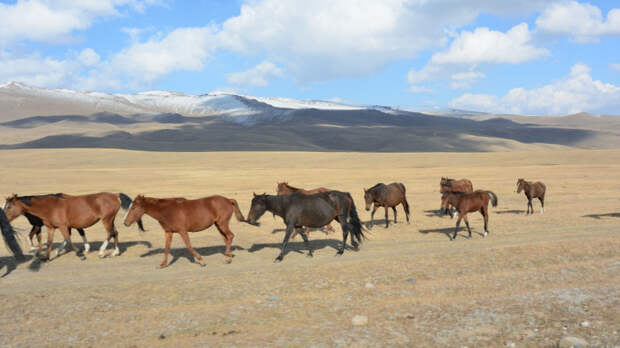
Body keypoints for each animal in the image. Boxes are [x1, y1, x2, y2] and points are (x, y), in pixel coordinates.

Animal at [1, 193, 140, 260]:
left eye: (9, 207)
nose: (3, 218)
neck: (49, 207)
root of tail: (115, 195)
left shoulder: (63, 226)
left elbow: (67, 239)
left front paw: (80, 254)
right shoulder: (51, 228)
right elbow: (50, 242)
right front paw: (46, 257)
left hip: (106, 219)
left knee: (110, 233)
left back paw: (101, 252)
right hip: (110, 220)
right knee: (115, 232)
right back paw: (115, 252)